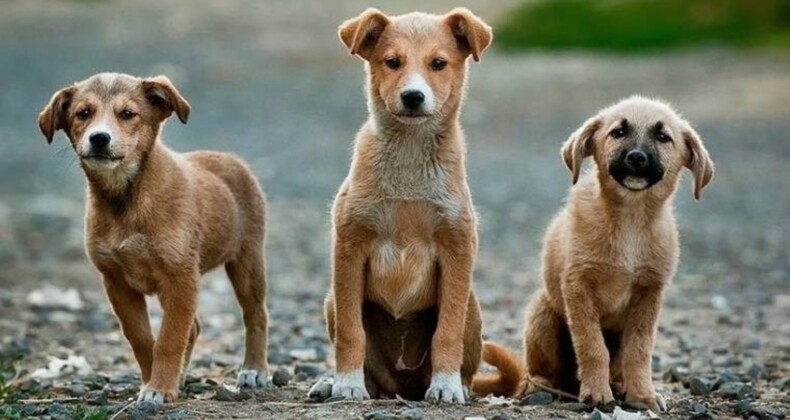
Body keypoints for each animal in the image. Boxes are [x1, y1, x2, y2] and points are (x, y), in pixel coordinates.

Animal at [38, 73, 272, 406]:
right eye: (83, 114)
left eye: (127, 114)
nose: (99, 138)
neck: (126, 199)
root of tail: (230, 159)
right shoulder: (117, 282)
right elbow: (142, 339)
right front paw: (155, 382)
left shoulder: (180, 277)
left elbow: (169, 339)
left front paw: (159, 387)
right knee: (194, 328)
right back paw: (183, 377)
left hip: (247, 261)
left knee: (256, 315)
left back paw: (254, 370)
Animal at [310, 8, 492, 404]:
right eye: (392, 62)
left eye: (438, 64)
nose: (412, 97)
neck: (409, 157)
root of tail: (403, 385)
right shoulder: (349, 246)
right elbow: (351, 331)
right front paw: (346, 383)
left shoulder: (458, 248)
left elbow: (447, 331)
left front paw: (446, 385)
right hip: (331, 300)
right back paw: (335, 382)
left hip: (472, 306)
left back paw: (457, 385)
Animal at [476, 97, 716, 412]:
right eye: (618, 132)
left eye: (663, 137)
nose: (637, 158)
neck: (630, 219)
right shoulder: (578, 287)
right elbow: (592, 347)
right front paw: (597, 393)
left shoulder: (649, 293)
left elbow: (639, 351)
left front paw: (642, 394)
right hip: (543, 312)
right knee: (540, 370)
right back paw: (539, 385)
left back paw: (619, 385)